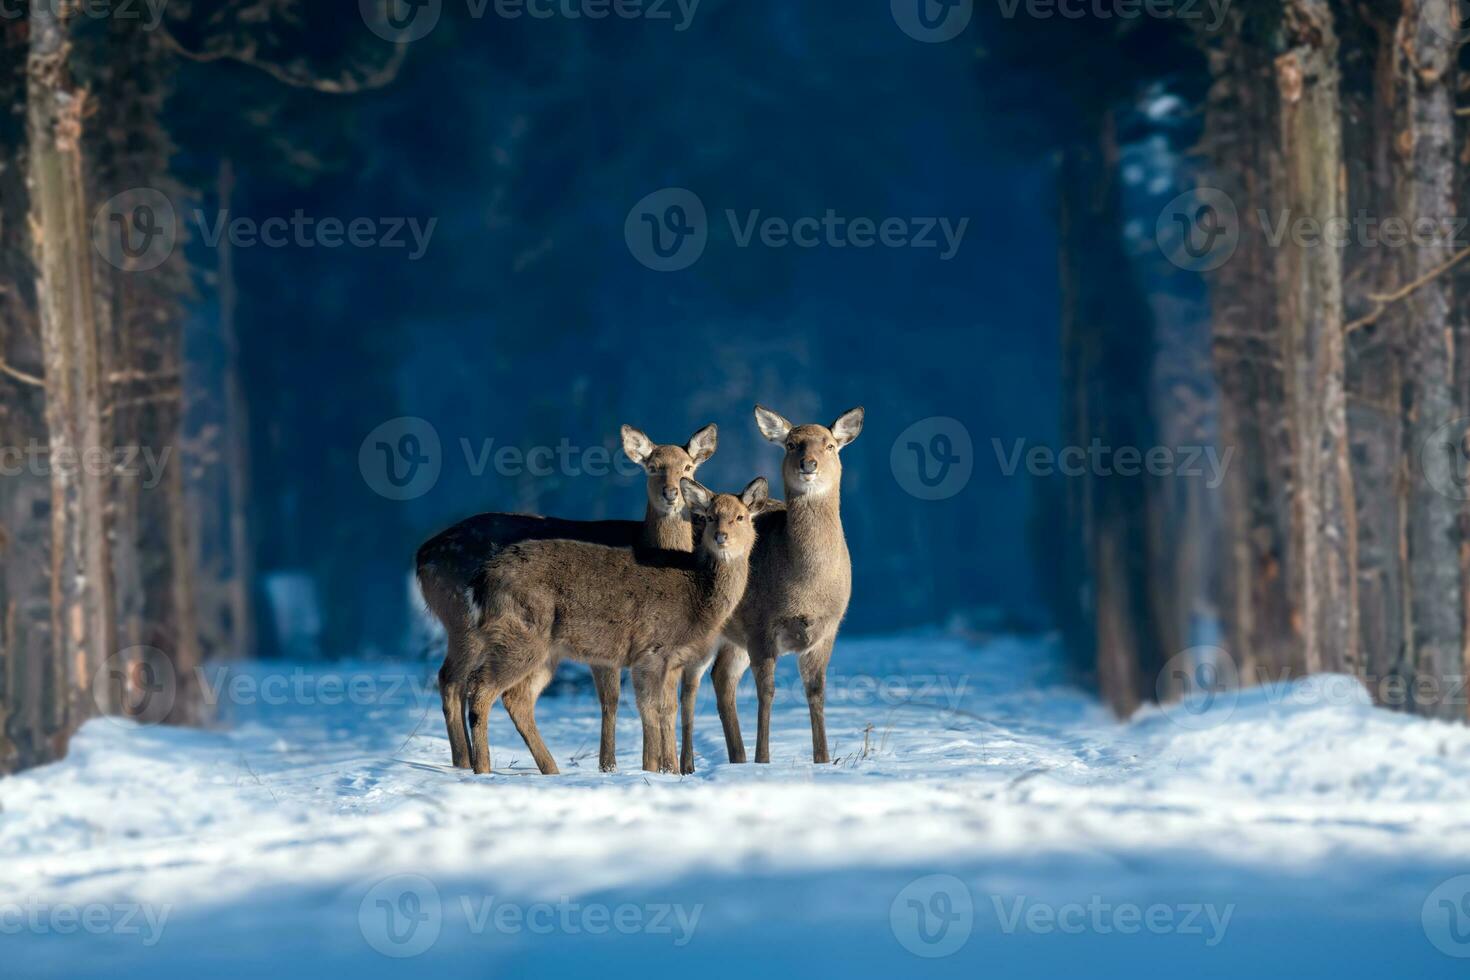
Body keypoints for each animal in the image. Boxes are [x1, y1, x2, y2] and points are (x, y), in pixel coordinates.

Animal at [414, 423, 717, 775]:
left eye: (688, 467)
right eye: (653, 467)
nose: (672, 493)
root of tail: (422, 557)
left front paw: (661, 767)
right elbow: (614, 699)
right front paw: (618, 766)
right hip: (464, 622)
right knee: (452, 680)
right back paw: (468, 762)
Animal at [467, 476, 776, 775]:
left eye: (740, 517)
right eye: (711, 516)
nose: (721, 536)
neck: (697, 596)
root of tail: (480, 581)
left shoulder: (672, 661)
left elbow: (668, 709)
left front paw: (668, 770)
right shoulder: (650, 650)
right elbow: (650, 709)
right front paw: (654, 769)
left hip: (546, 652)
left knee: (517, 698)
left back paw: (551, 769)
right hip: (520, 634)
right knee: (481, 688)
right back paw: (483, 768)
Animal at [708, 405, 858, 764]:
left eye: (830, 445)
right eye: (791, 444)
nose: (809, 464)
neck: (804, 588)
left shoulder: (828, 629)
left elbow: (816, 691)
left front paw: (823, 758)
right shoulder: (760, 624)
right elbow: (767, 691)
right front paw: (764, 759)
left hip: (733, 638)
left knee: (721, 677)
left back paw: (737, 757)